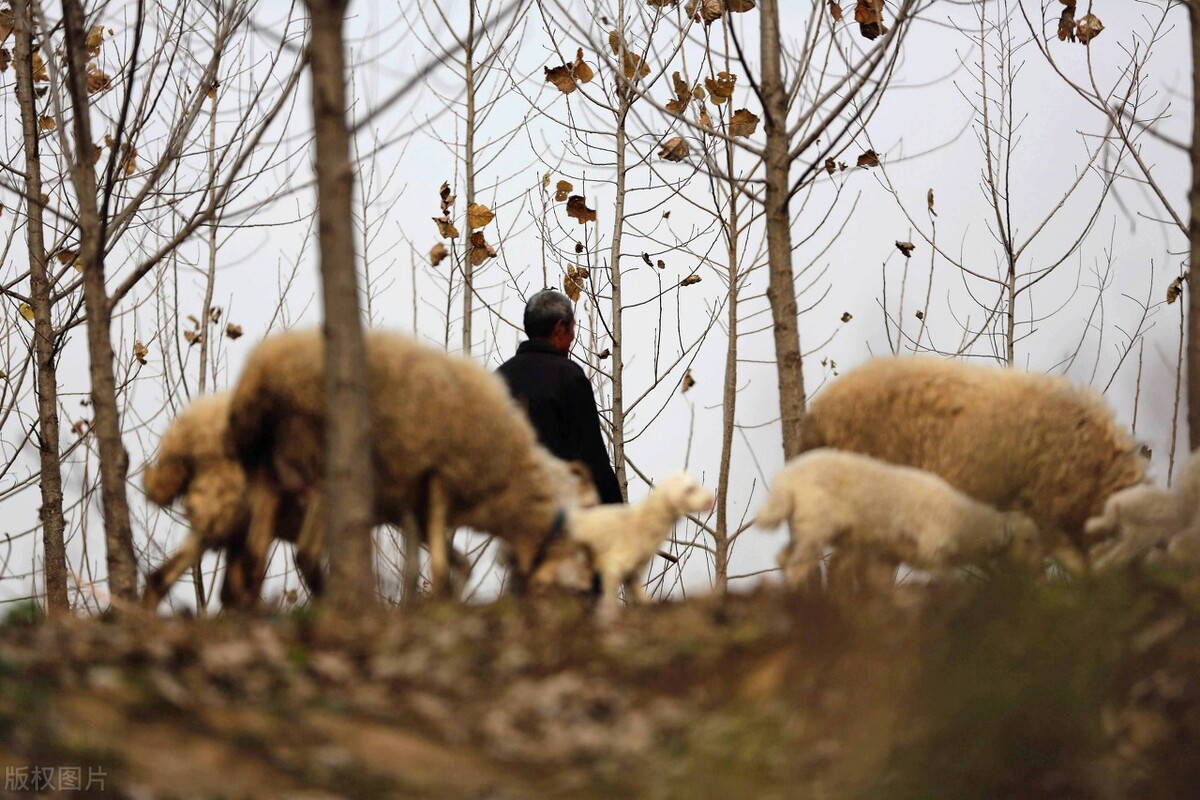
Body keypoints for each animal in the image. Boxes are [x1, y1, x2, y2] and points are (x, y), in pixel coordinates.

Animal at [226, 326, 588, 599]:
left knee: (253, 561)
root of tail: (259, 377)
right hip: (325, 470)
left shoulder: (412, 503)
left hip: (269, 477)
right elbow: (439, 568)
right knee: (305, 554)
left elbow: (434, 568)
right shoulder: (440, 477)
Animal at [564, 470, 710, 618]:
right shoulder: (614, 563)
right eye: (690, 489)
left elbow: (640, 595)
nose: (710, 500)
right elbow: (609, 596)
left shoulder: (634, 570)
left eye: (697, 483)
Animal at [758, 448, 1041, 592]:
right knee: (796, 564)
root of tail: (785, 480)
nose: (1038, 570)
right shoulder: (931, 547)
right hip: (817, 520)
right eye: (1028, 540)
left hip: (806, 524)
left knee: (785, 558)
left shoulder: (892, 554)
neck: (965, 522)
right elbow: (951, 580)